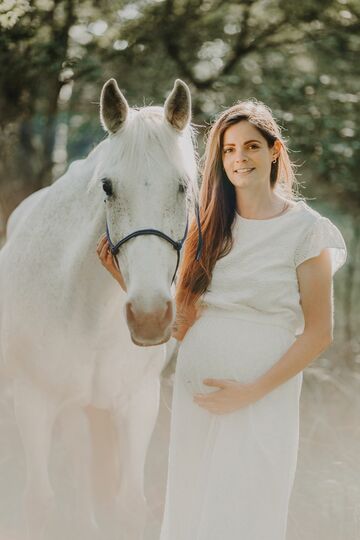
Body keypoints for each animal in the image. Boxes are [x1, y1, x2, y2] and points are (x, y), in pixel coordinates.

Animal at [0, 78, 197, 536]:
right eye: (107, 187)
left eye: (183, 186)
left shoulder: (138, 404)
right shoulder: (34, 402)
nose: (148, 316)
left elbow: (129, 505)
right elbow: (39, 504)